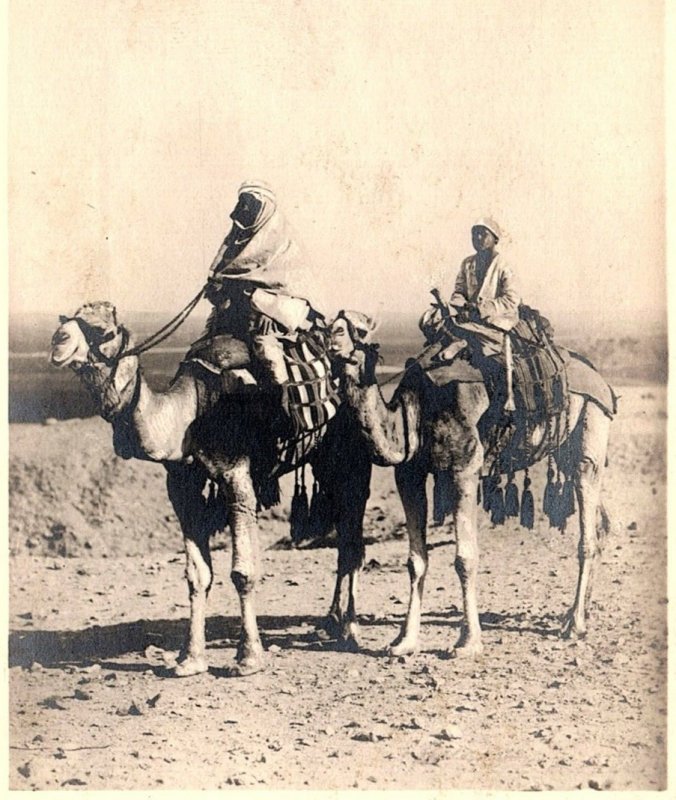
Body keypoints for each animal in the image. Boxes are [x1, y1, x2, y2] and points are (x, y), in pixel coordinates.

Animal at [50, 304, 372, 680]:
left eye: (103, 330)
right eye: (67, 319)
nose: (58, 341)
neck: (190, 414)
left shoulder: (237, 478)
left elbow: (242, 573)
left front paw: (248, 658)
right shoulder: (182, 488)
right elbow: (197, 575)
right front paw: (189, 659)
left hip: (353, 454)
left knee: (352, 541)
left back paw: (349, 629)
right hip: (324, 461)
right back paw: (330, 622)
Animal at [330, 312, 616, 656]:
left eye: (359, 328)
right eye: (331, 322)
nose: (332, 336)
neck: (414, 412)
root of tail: (599, 377)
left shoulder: (463, 468)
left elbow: (465, 559)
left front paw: (467, 642)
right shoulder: (409, 475)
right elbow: (415, 561)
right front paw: (403, 641)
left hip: (592, 420)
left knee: (587, 527)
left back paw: (575, 625)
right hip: (564, 451)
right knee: (600, 523)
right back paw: (577, 614)